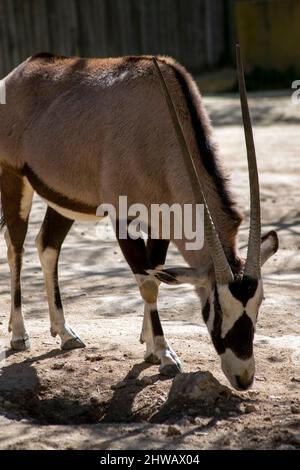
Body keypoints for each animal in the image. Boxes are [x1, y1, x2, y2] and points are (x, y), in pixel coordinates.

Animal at [0, 49, 278, 392]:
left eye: (258, 304)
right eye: (214, 308)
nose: (243, 378)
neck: (160, 130)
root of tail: (16, 74)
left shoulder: (162, 221)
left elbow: (156, 274)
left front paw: (149, 346)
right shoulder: (123, 218)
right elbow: (147, 283)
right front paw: (164, 354)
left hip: (62, 197)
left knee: (48, 245)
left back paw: (65, 333)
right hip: (13, 177)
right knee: (16, 246)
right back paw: (19, 333)